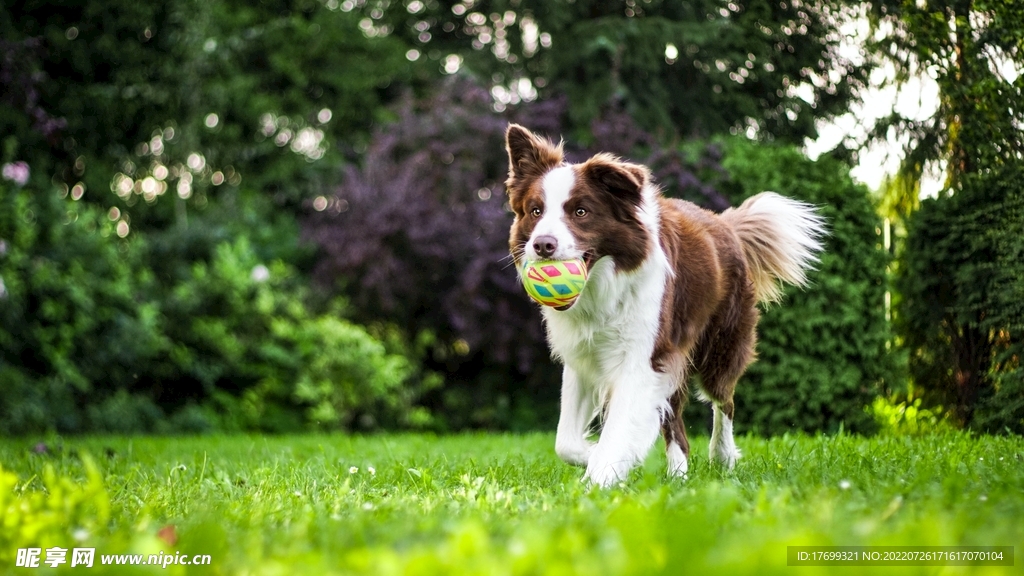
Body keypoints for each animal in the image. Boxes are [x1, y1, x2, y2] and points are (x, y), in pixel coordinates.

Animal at [507, 124, 827, 483]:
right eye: (535, 211)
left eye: (581, 212)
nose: (542, 245)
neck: (603, 287)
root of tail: (725, 224)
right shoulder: (584, 357)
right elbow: (565, 441)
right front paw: (598, 457)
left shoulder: (643, 357)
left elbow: (618, 428)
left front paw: (601, 476)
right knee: (676, 424)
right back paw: (678, 476)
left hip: (719, 346)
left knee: (724, 401)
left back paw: (722, 456)